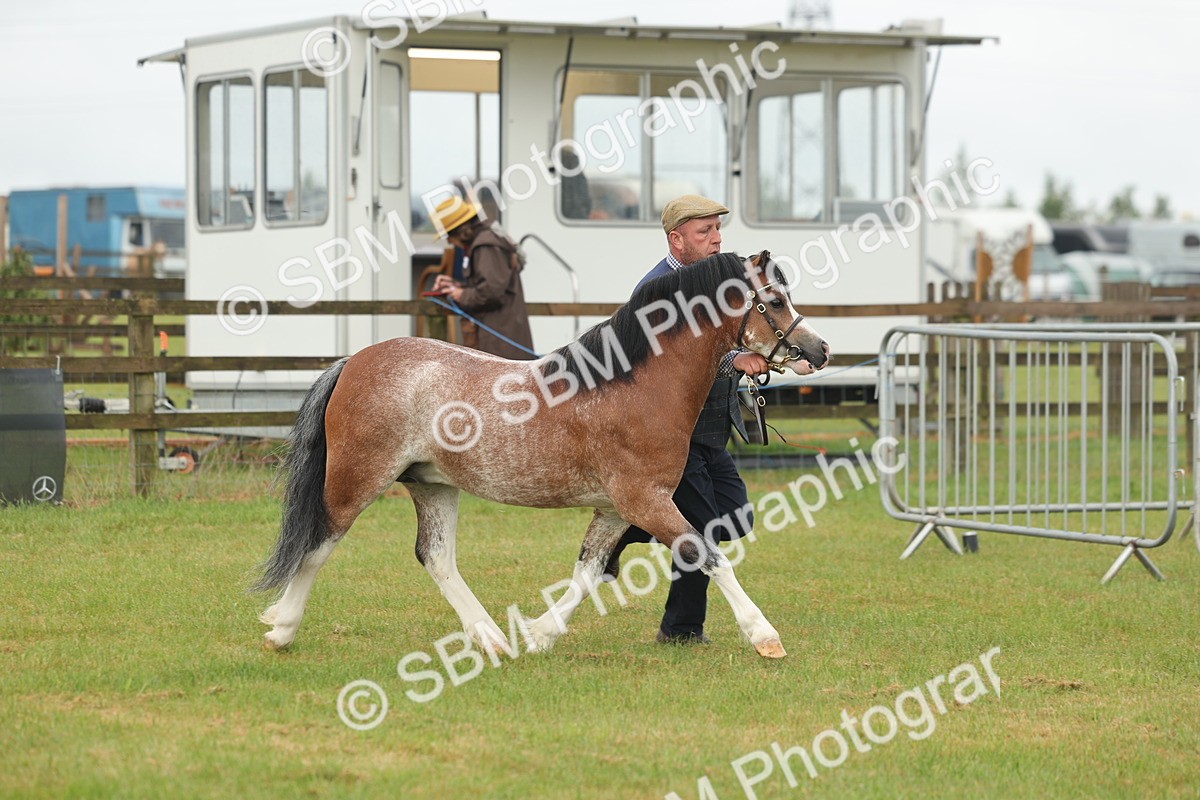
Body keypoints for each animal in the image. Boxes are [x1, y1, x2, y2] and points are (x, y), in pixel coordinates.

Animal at [254, 251, 829, 658]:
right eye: (775, 300)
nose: (819, 350)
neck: (635, 386)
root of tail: (353, 362)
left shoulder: (616, 509)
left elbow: (589, 572)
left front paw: (539, 633)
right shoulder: (646, 501)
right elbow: (707, 554)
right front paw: (764, 635)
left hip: (432, 484)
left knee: (436, 557)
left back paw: (491, 638)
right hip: (357, 478)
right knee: (318, 543)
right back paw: (281, 629)